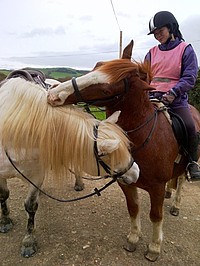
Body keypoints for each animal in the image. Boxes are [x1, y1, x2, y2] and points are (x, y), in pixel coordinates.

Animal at [0, 77, 139, 258]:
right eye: (105, 155)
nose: (136, 173)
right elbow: (3, 195)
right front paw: (5, 220)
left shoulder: (35, 176)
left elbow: (30, 206)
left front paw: (28, 241)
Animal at [47, 40, 200, 260]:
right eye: (97, 65)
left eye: (105, 89)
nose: (53, 94)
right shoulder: (125, 181)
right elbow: (133, 209)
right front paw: (133, 238)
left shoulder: (156, 187)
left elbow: (156, 215)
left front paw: (154, 247)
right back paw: (169, 194)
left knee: (180, 181)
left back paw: (176, 203)